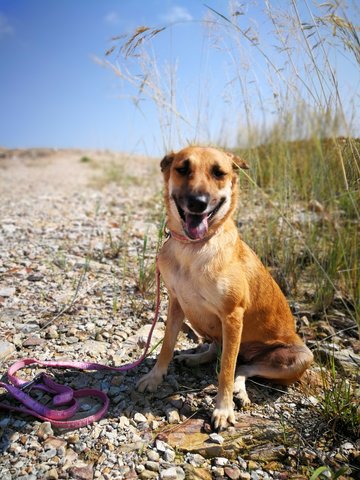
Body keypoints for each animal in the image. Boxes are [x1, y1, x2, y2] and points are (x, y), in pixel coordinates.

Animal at [136, 146, 314, 432]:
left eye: (219, 173)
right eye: (182, 168)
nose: (198, 203)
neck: (194, 248)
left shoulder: (232, 316)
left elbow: (227, 371)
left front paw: (223, 409)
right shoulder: (176, 304)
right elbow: (166, 347)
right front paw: (154, 377)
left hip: (299, 356)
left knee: (244, 367)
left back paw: (239, 390)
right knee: (218, 350)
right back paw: (196, 358)